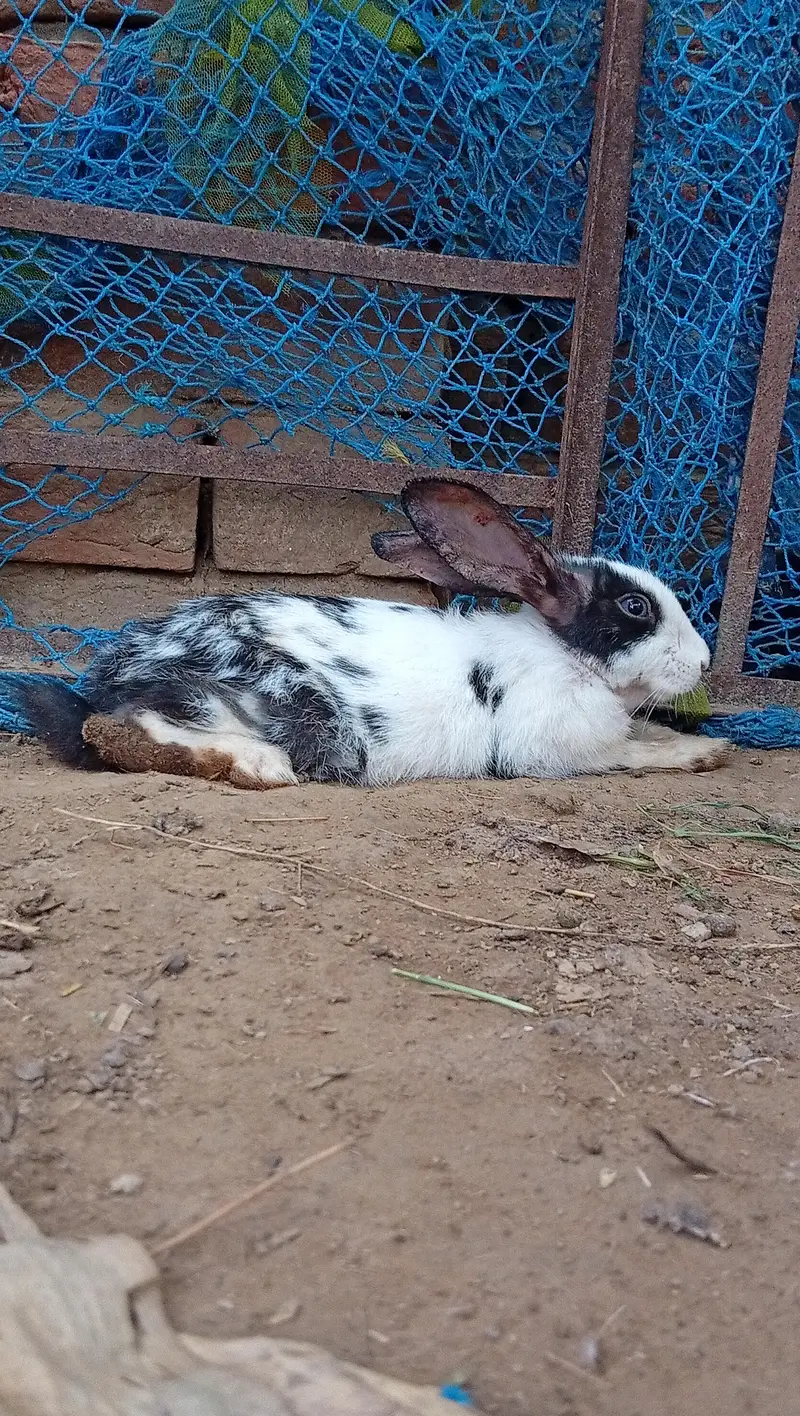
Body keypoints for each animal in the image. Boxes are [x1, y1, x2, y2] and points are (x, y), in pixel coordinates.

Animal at [10, 478, 732, 787]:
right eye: (636, 608)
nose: (703, 663)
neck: (563, 656)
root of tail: (112, 674)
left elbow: (646, 735)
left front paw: (712, 746)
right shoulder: (557, 748)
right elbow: (631, 753)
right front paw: (698, 754)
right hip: (275, 704)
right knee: (118, 731)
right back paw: (257, 766)